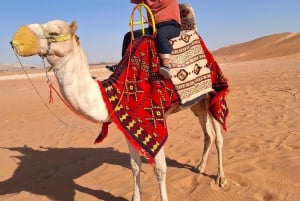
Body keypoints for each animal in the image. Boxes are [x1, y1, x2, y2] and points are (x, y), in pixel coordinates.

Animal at [11, 19, 227, 201]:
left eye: (54, 32)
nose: (15, 40)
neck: (113, 92)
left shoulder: (154, 123)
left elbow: (159, 169)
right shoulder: (129, 126)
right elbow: (135, 167)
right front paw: (135, 197)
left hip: (212, 93)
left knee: (218, 137)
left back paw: (220, 178)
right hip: (197, 104)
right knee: (207, 133)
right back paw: (199, 166)